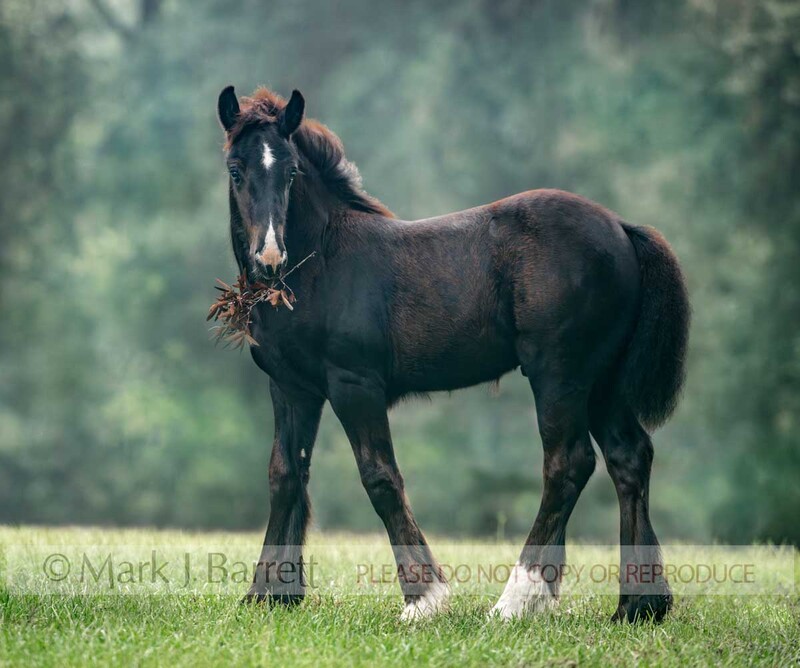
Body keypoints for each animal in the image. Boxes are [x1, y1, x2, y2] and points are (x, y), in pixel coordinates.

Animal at [215, 85, 690, 622]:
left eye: (291, 171)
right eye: (236, 169)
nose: (269, 258)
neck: (319, 265)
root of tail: (621, 227)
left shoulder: (354, 384)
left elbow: (380, 477)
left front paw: (423, 597)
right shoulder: (292, 387)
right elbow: (285, 475)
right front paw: (268, 594)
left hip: (559, 373)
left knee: (568, 464)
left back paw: (516, 600)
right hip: (601, 380)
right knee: (628, 456)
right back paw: (639, 604)